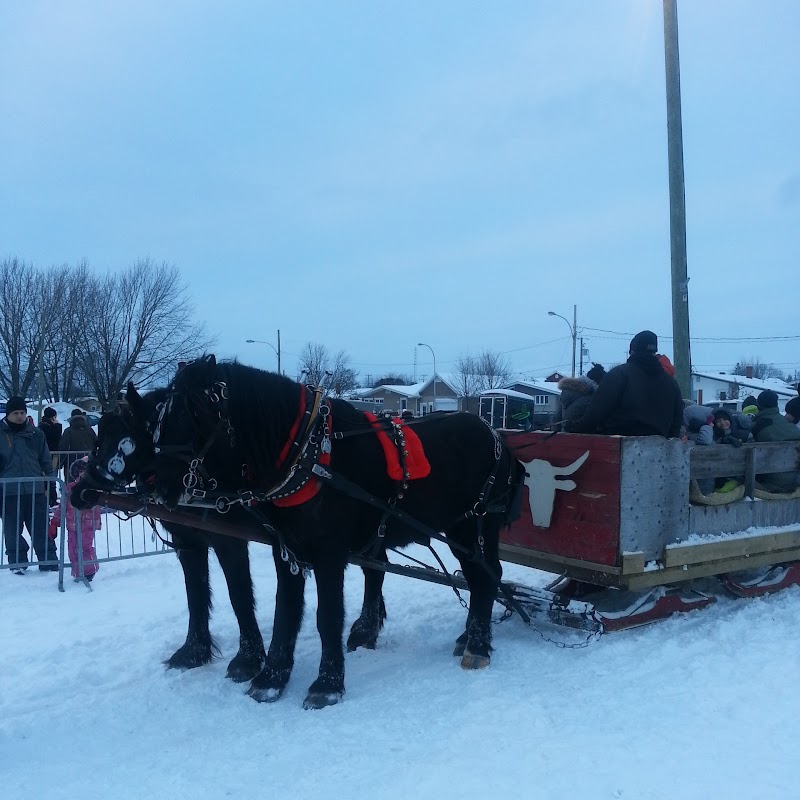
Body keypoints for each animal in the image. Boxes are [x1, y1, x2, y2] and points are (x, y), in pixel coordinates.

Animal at [71, 388, 268, 680]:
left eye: (122, 439)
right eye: (98, 440)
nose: (79, 491)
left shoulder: (229, 540)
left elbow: (239, 594)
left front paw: (248, 659)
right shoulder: (187, 542)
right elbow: (195, 592)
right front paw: (194, 652)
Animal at [150, 354, 524, 708]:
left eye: (193, 411)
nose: (158, 485)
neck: (308, 456)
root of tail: (498, 438)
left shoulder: (328, 554)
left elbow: (327, 615)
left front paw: (327, 685)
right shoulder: (286, 550)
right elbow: (285, 611)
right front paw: (272, 678)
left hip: (472, 527)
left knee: (486, 577)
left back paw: (478, 645)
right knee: (479, 577)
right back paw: (468, 637)